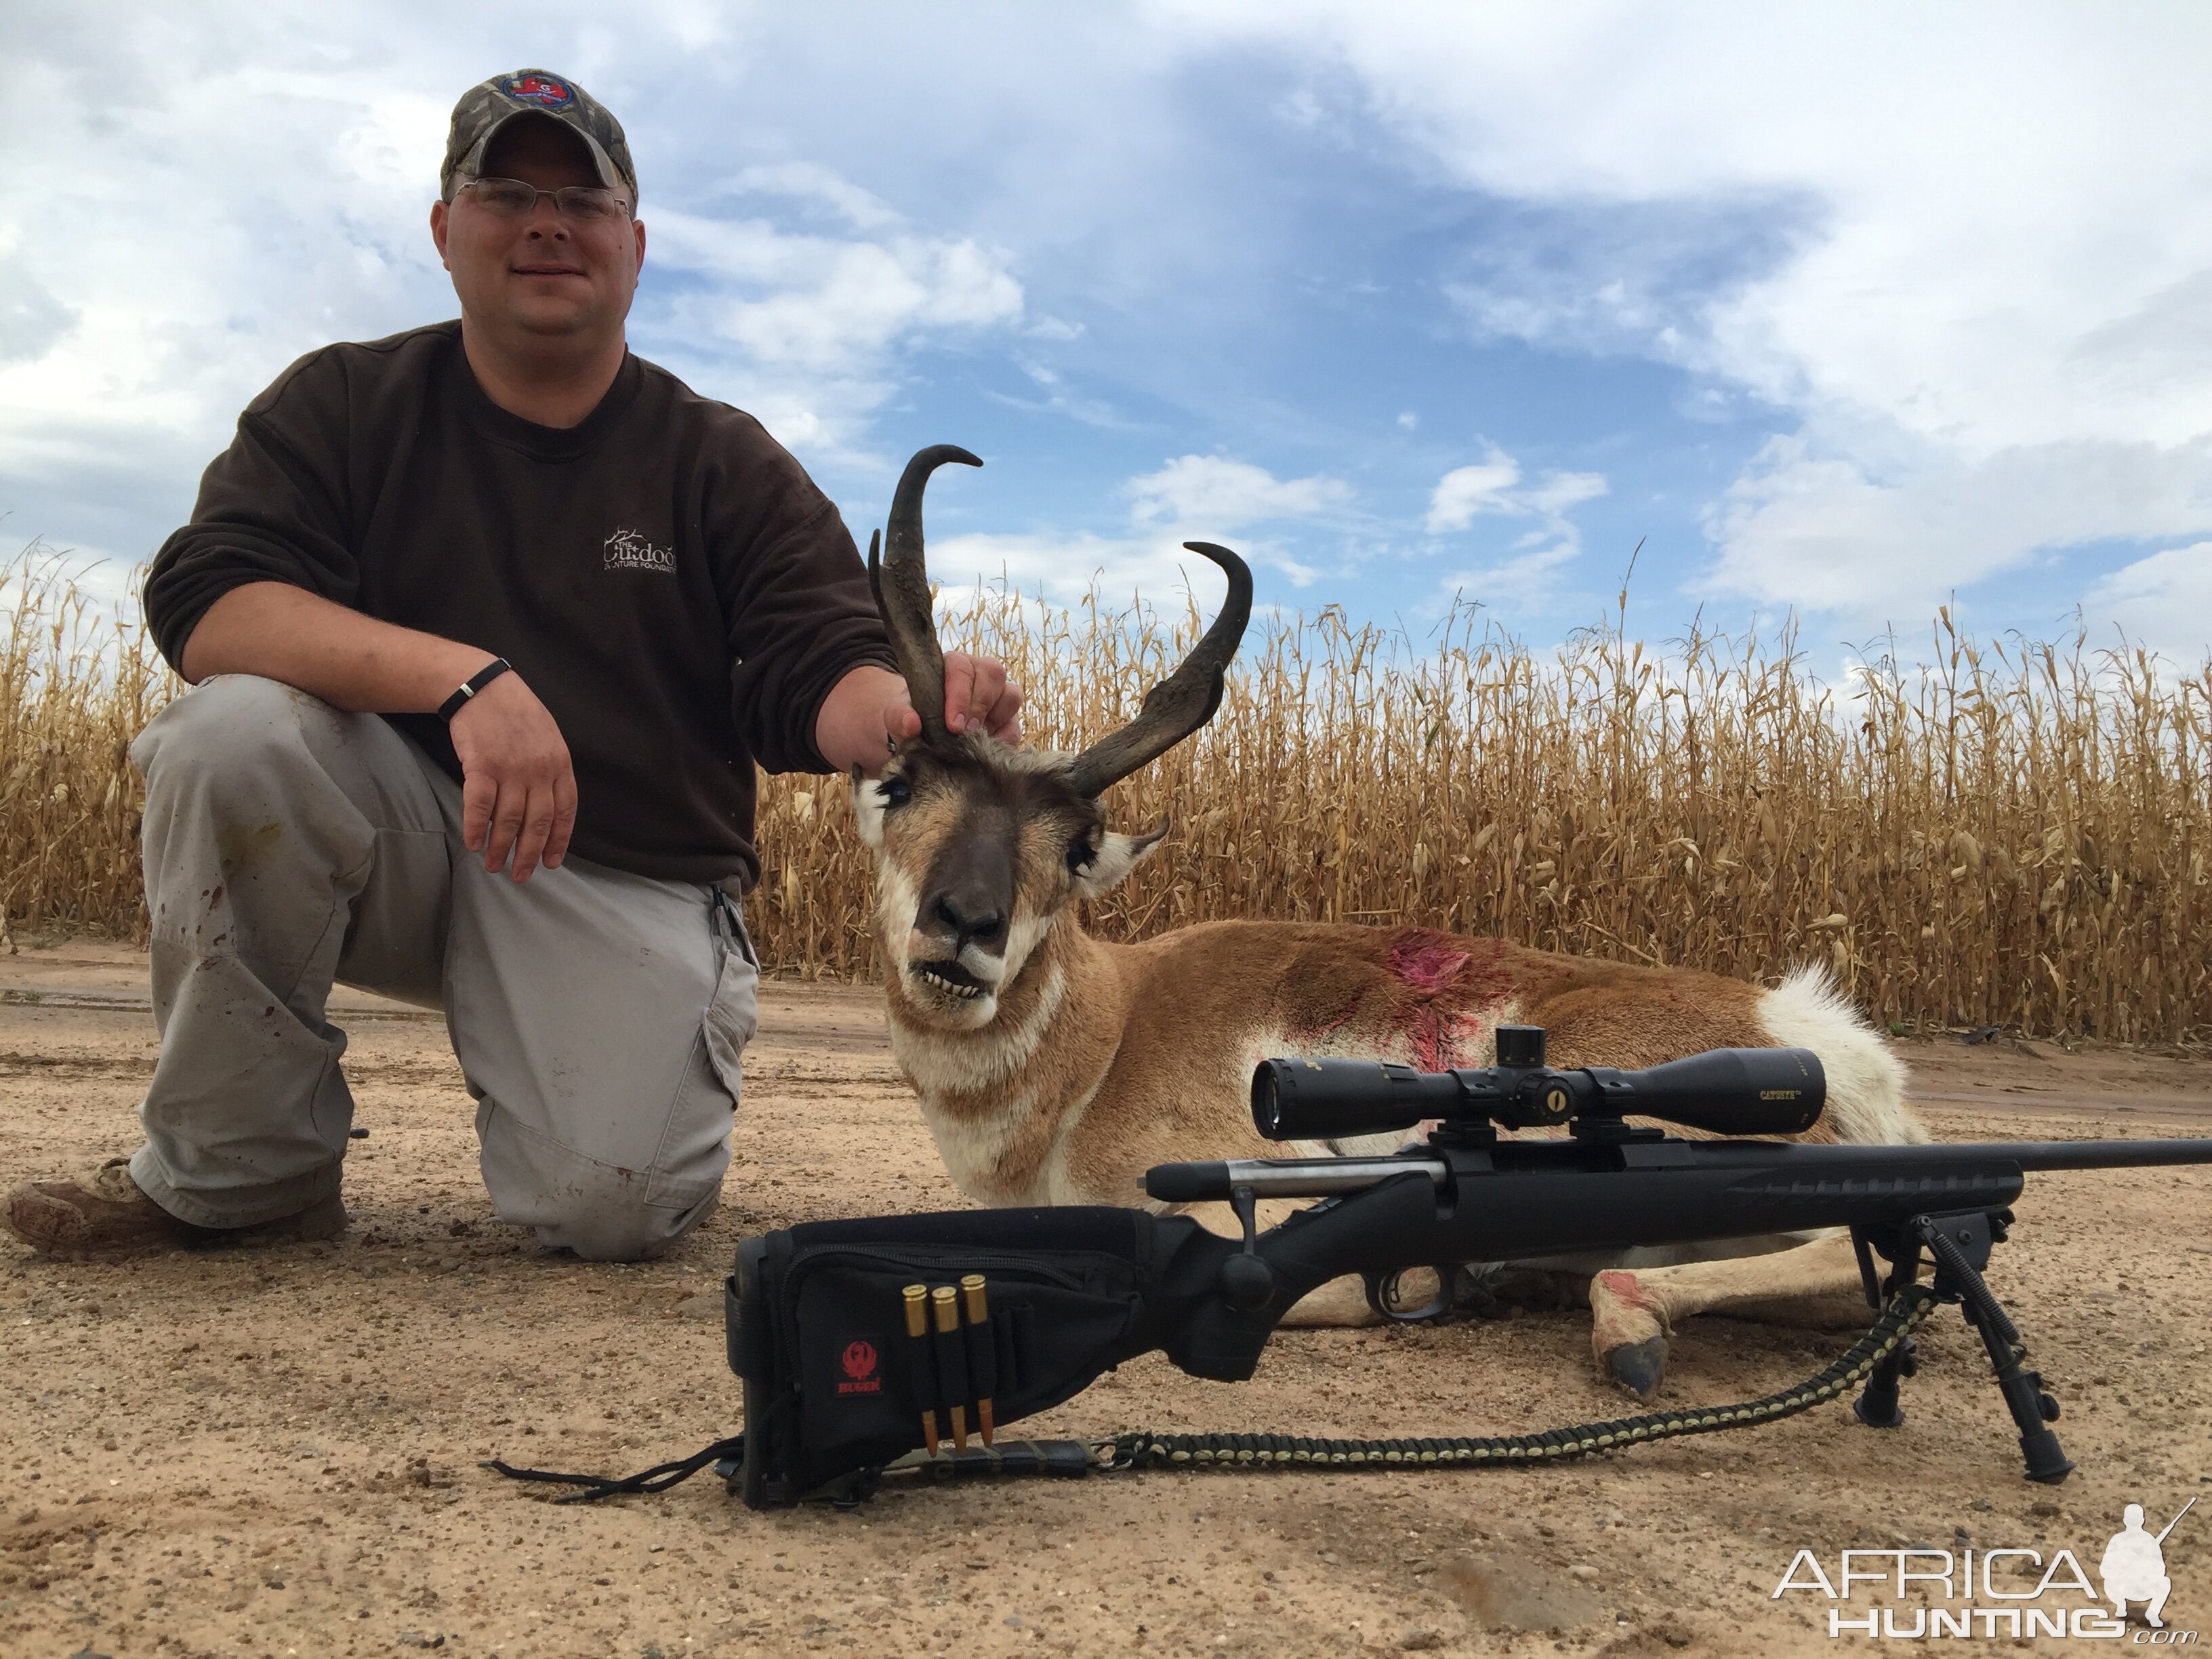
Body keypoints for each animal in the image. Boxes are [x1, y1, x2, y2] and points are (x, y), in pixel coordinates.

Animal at [853, 445, 1929, 1406]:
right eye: (899, 785)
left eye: (1078, 847)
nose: (967, 925)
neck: (1111, 1034)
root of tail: (1814, 1033)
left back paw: (1615, 1317)